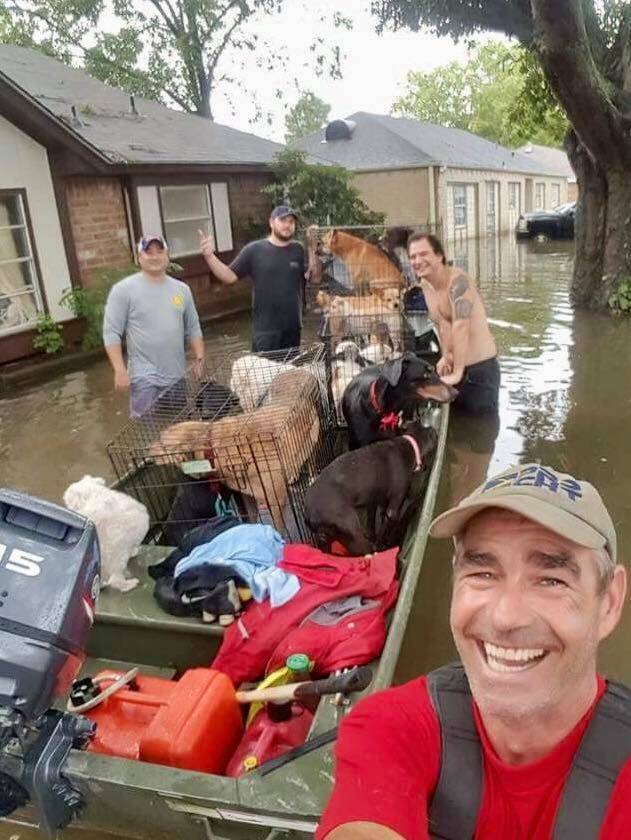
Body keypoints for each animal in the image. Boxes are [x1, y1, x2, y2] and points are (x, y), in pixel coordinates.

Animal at [308, 424, 440, 556]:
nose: (433, 428)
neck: (410, 444)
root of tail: (311, 514)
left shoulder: (374, 498)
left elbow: (372, 520)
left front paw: (373, 535)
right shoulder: (393, 507)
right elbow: (386, 526)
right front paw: (382, 542)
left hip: (328, 538)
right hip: (351, 530)